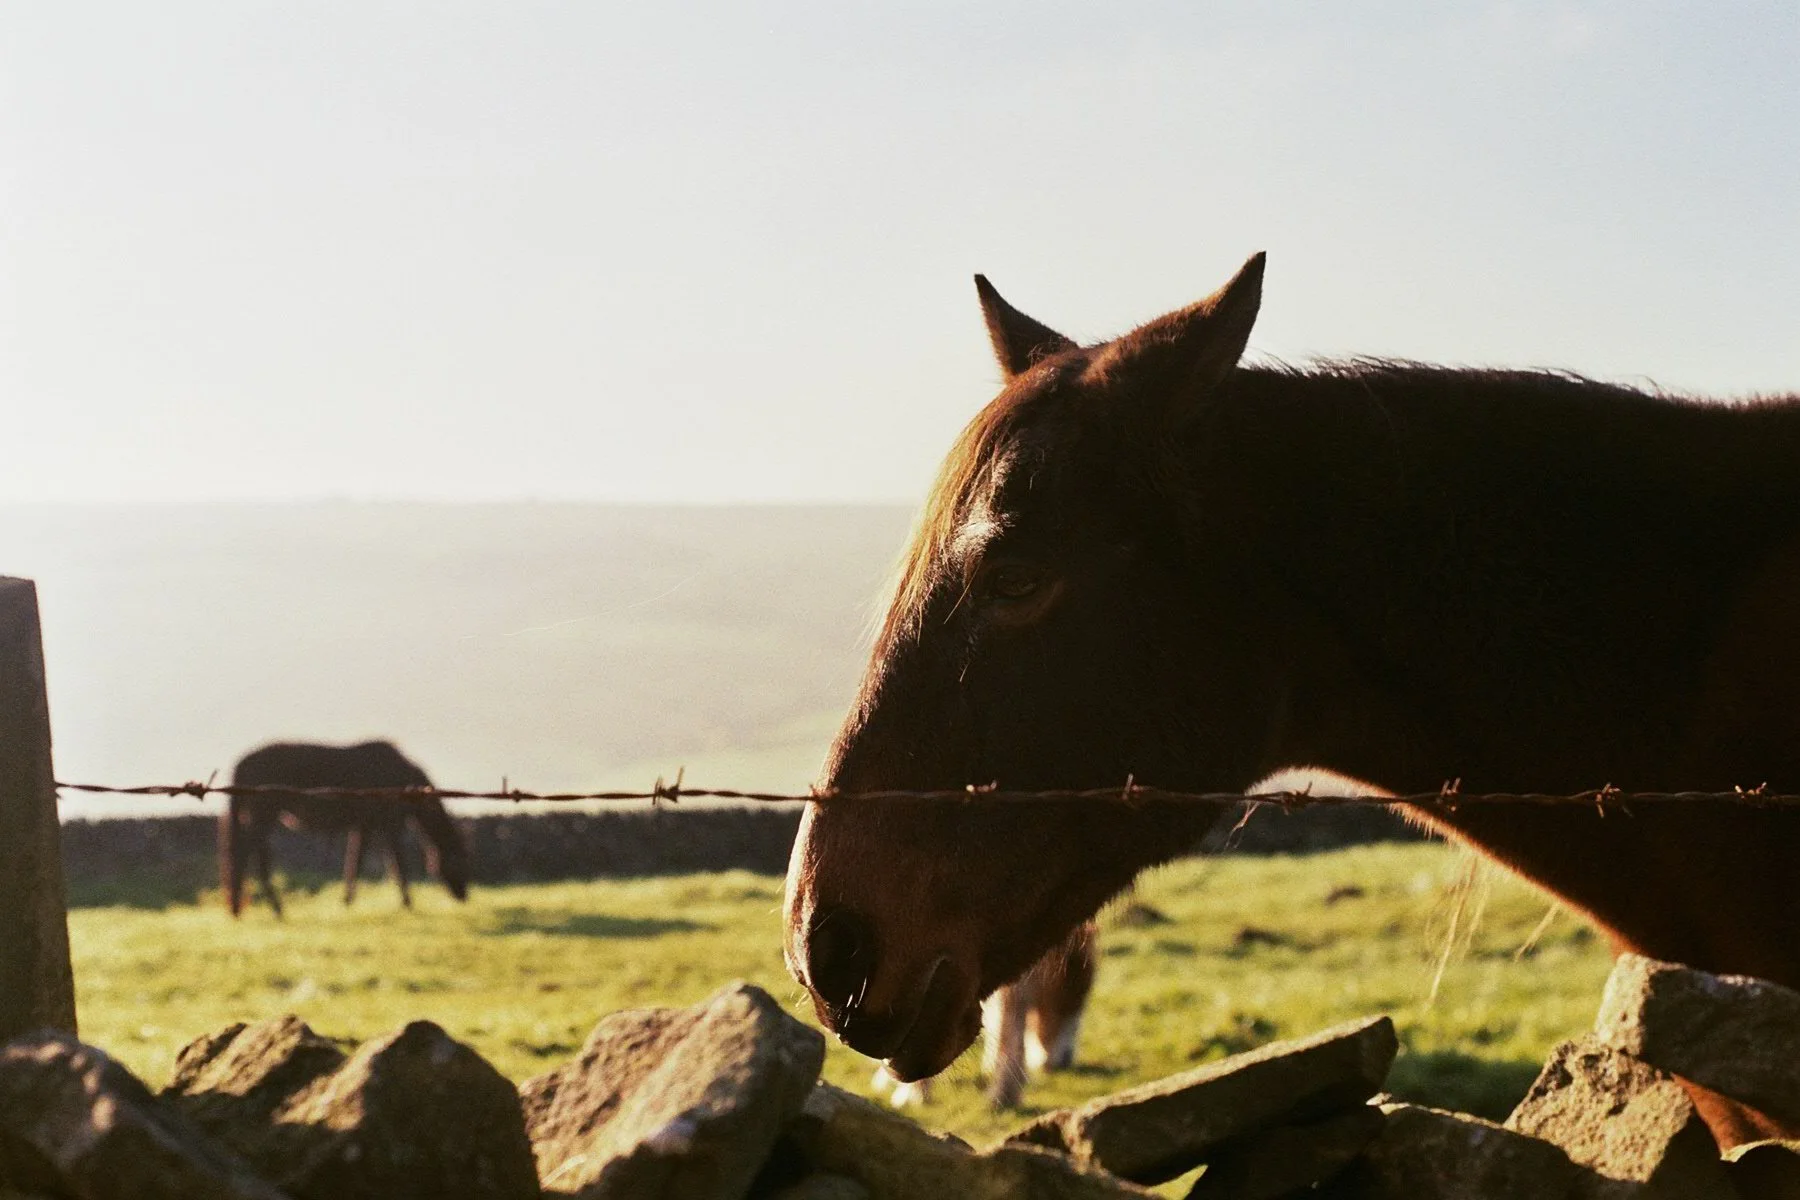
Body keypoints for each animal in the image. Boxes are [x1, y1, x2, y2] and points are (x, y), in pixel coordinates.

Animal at [220, 740, 471, 918]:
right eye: (456, 859)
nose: (464, 896)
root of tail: (241, 763)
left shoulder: (365, 826)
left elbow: (355, 862)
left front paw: (347, 901)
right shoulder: (390, 824)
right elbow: (397, 864)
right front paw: (407, 903)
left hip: (261, 817)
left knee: (254, 856)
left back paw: (263, 908)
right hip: (263, 814)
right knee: (244, 854)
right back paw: (254, 909)